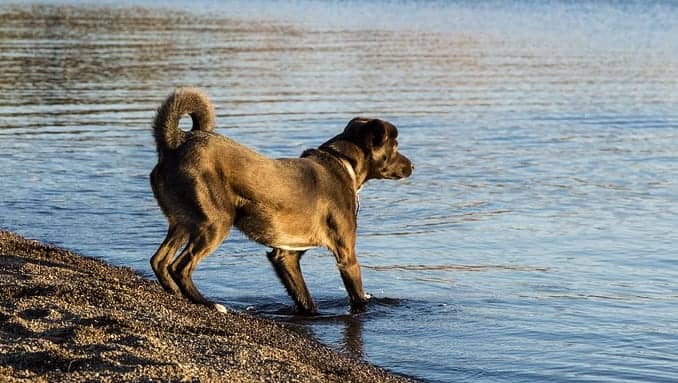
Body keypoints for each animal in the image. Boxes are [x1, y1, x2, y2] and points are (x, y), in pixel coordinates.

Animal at [149, 88, 414, 316]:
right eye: (395, 146)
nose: (412, 165)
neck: (342, 162)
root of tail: (175, 143)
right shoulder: (346, 254)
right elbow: (358, 296)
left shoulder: (286, 255)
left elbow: (304, 298)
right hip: (215, 223)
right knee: (180, 267)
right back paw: (209, 304)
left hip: (184, 222)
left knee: (159, 261)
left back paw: (176, 294)